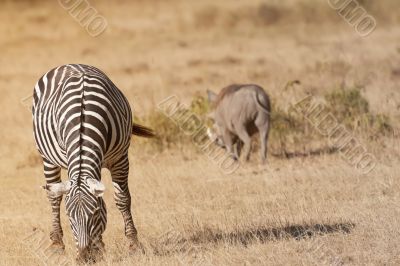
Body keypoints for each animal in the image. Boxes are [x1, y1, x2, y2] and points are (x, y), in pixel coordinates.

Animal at [32, 64, 155, 262]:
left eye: (96, 213)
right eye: (69, 216)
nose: (84, 258)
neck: (83, 124)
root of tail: (68, 64)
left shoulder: (120, 158)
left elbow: (122, 199)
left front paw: (133, 245)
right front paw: (99, 247)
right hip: (47, 158)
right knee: (54, 197)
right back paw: (57, 244)